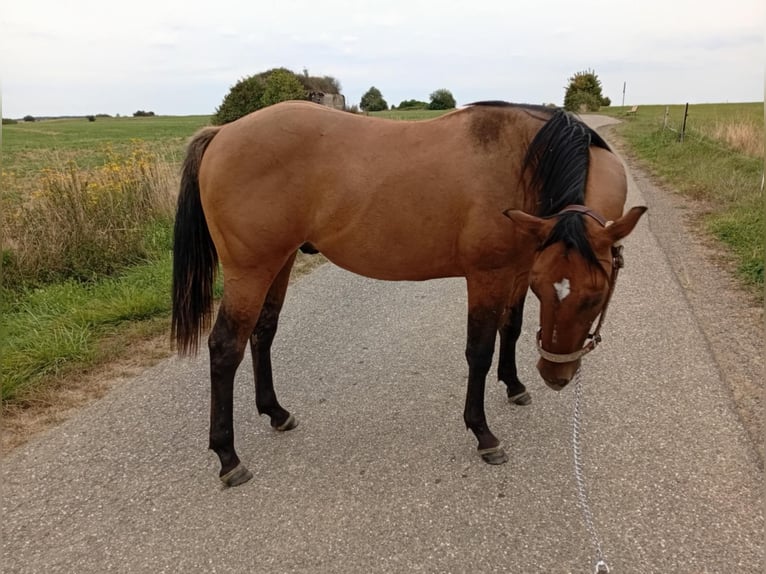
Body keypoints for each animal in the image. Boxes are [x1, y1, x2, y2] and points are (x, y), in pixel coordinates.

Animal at [171, 101, 646, 487]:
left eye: (593, 295)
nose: (556, 376)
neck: (522, 160)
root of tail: (223, 132)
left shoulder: (517, 270)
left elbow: (510, 330)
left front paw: (514, 385)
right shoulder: (487, 277)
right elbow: (479, 350)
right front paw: (483, 434)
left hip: (280, 262)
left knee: (262, 333)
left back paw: (276, 413)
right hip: (250, 271)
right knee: (225, 348)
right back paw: (228, 457)